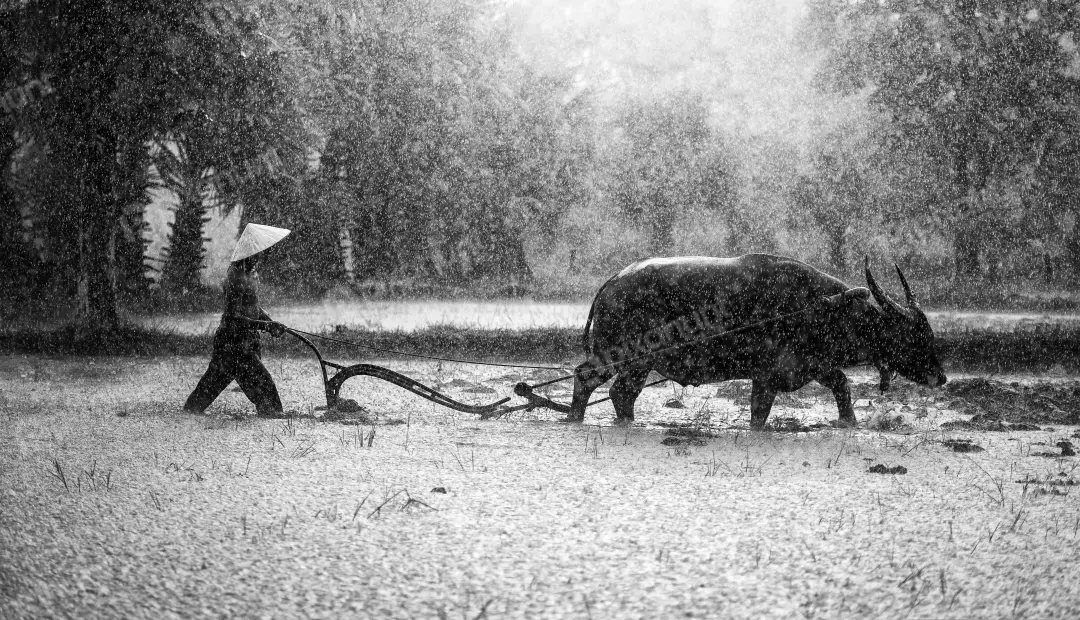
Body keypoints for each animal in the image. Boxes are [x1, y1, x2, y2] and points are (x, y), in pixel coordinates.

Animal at [574, 254, 946, 429]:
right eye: (915, 337)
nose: (941, 376)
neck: (819, 307)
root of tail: (613, 281)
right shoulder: (769, 376)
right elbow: (760, 413)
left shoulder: (812, 366)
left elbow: (842, 386)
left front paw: (849, 423)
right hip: (627, 357)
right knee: (593, 380)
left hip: (635, 363)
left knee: (614, 390)